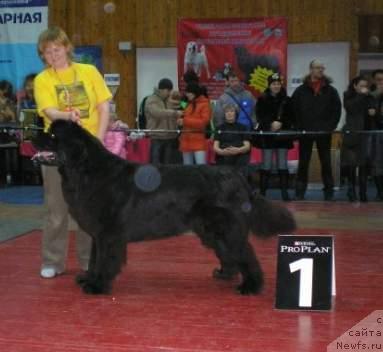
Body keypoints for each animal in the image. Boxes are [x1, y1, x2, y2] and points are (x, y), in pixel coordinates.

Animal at [39, 119, 296, 296]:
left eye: (52, 135)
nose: (33, 135)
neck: (85, 171)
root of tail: (237, 176)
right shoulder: (97, 234)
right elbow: (94, 258)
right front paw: (88, 278)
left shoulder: (108, 234)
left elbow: (104, 259)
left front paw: (97, 285)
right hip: (210, 229)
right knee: (228, 251)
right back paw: (225, 274)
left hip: (226, 226)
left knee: (244, 252)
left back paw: (250, 286)